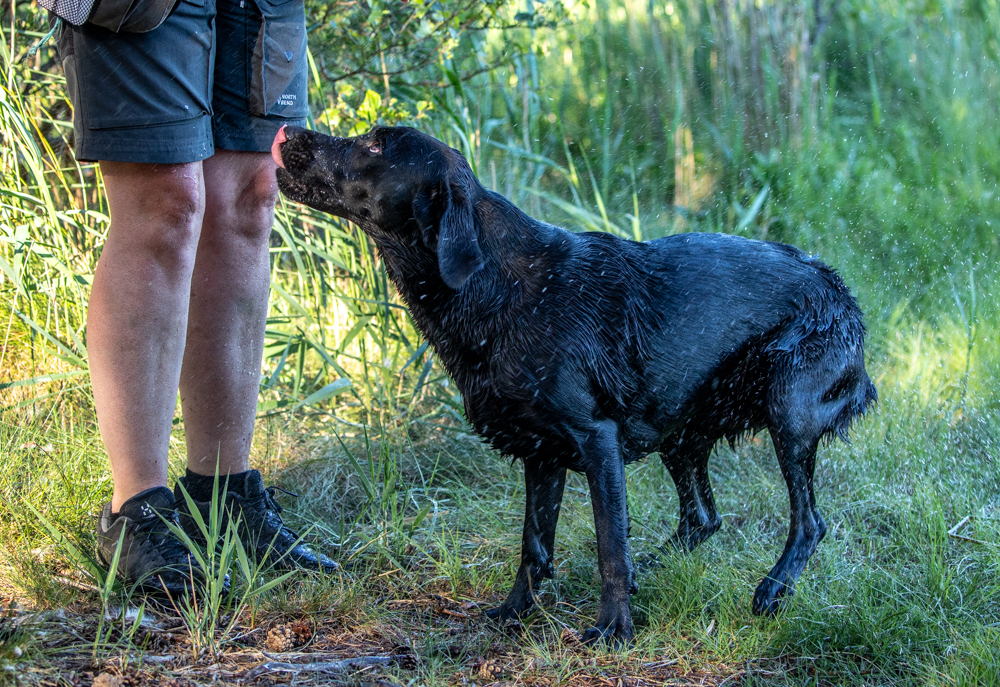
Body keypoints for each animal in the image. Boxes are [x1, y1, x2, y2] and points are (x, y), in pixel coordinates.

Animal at [274, 125, 876, 644]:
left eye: (375, 145)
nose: (289, 132)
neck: (496, 288)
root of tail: (839, 287)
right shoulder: (541, 453)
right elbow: (533, 546)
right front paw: (514, 614)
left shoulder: (596, 439)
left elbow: (610, 545)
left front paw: (613, 630)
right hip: (680, 429)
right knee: (702, 519)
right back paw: (651, 571)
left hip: (789, 410)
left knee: (809, 522)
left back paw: (772, 589)